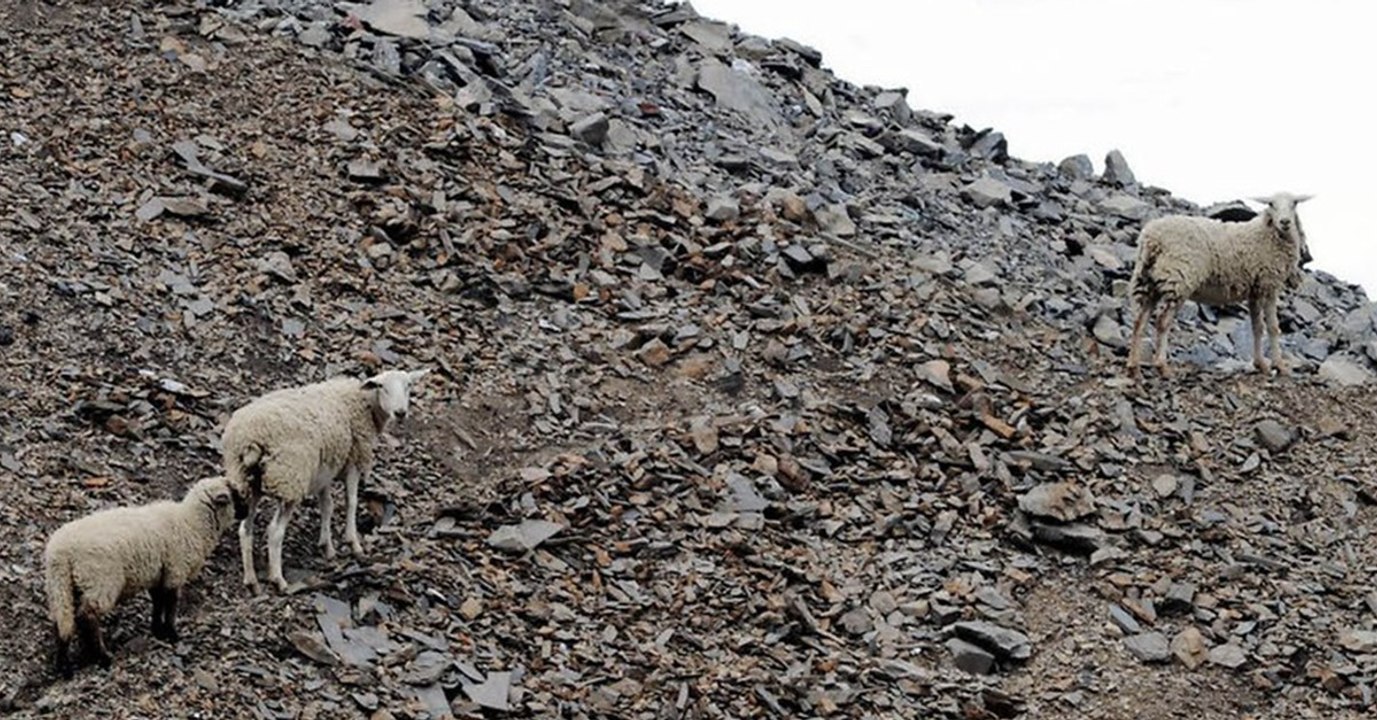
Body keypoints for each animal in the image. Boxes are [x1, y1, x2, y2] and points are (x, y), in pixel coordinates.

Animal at [43, 475, 237, 677]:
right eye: (235, 494)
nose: (245, 512)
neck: (192, 523)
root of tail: (60, 552)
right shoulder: (175, 570)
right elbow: (171, 604)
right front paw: (172, 634)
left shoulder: (158, 575)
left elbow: (158, 602)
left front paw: (157, 630)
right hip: (100, 580)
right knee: (86, 616)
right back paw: (102, 656)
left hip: (60, 586)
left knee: (63, 621)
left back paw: (65, 665)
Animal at [221, 368, 430, 595]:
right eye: (381, 386)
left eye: (409, 385)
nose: (401, 412)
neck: (363, 403)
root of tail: (250, 437)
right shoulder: (353, 460)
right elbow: (351, 501)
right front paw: (353, 542)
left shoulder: (326, 469)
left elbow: (327, 506)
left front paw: (327, 546)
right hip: (290, 479)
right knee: (274, 531)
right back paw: (278, 579)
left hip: (247, 482)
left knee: (245, 529)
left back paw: (251, 580)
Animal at [1125, 192, 1312, 377]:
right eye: (1271, 204)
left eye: (1294, 203)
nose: (1285, 222)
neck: (1268, 234)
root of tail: (1151, 237)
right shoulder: (1268, 285)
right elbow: (1273, 328)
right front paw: (1279, 366)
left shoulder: (1255, 291)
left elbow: (1257, 328)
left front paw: (1261, 364)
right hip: (1178, 278)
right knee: (1162, 322)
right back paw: (1162, 366)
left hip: (1149, 281)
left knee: (1139, 322)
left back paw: (1134, 367)